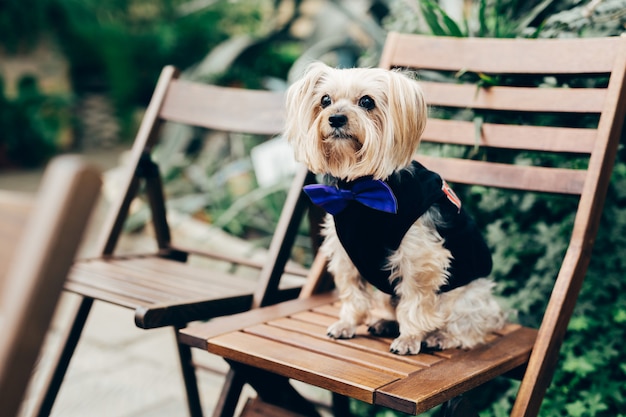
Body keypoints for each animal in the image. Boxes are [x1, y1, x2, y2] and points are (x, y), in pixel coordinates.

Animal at [282, 61, 502, 354]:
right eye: (325, 100)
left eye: (367, 101)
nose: (336, 118)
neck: (358, 189)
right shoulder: (344, 254)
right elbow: (353, 292)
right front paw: (347, 324)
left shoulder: (419, 258)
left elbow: (415, 300)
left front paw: (409, 338)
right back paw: (385, 323)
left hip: (465, 298)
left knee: (467, 327)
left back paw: (441, 336)